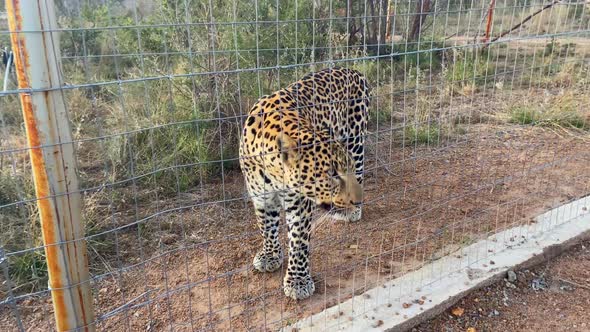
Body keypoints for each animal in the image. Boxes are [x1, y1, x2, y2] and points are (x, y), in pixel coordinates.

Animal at [239, 66, 370, 300]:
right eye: (332, 173)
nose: (358, 199)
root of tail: (354, 69)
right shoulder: (261, 197)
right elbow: (266, 227)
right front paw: (270, 255)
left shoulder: (299, 204)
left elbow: (299, 242)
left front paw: (298, 282)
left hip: (355, 140)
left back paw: (352, 212)